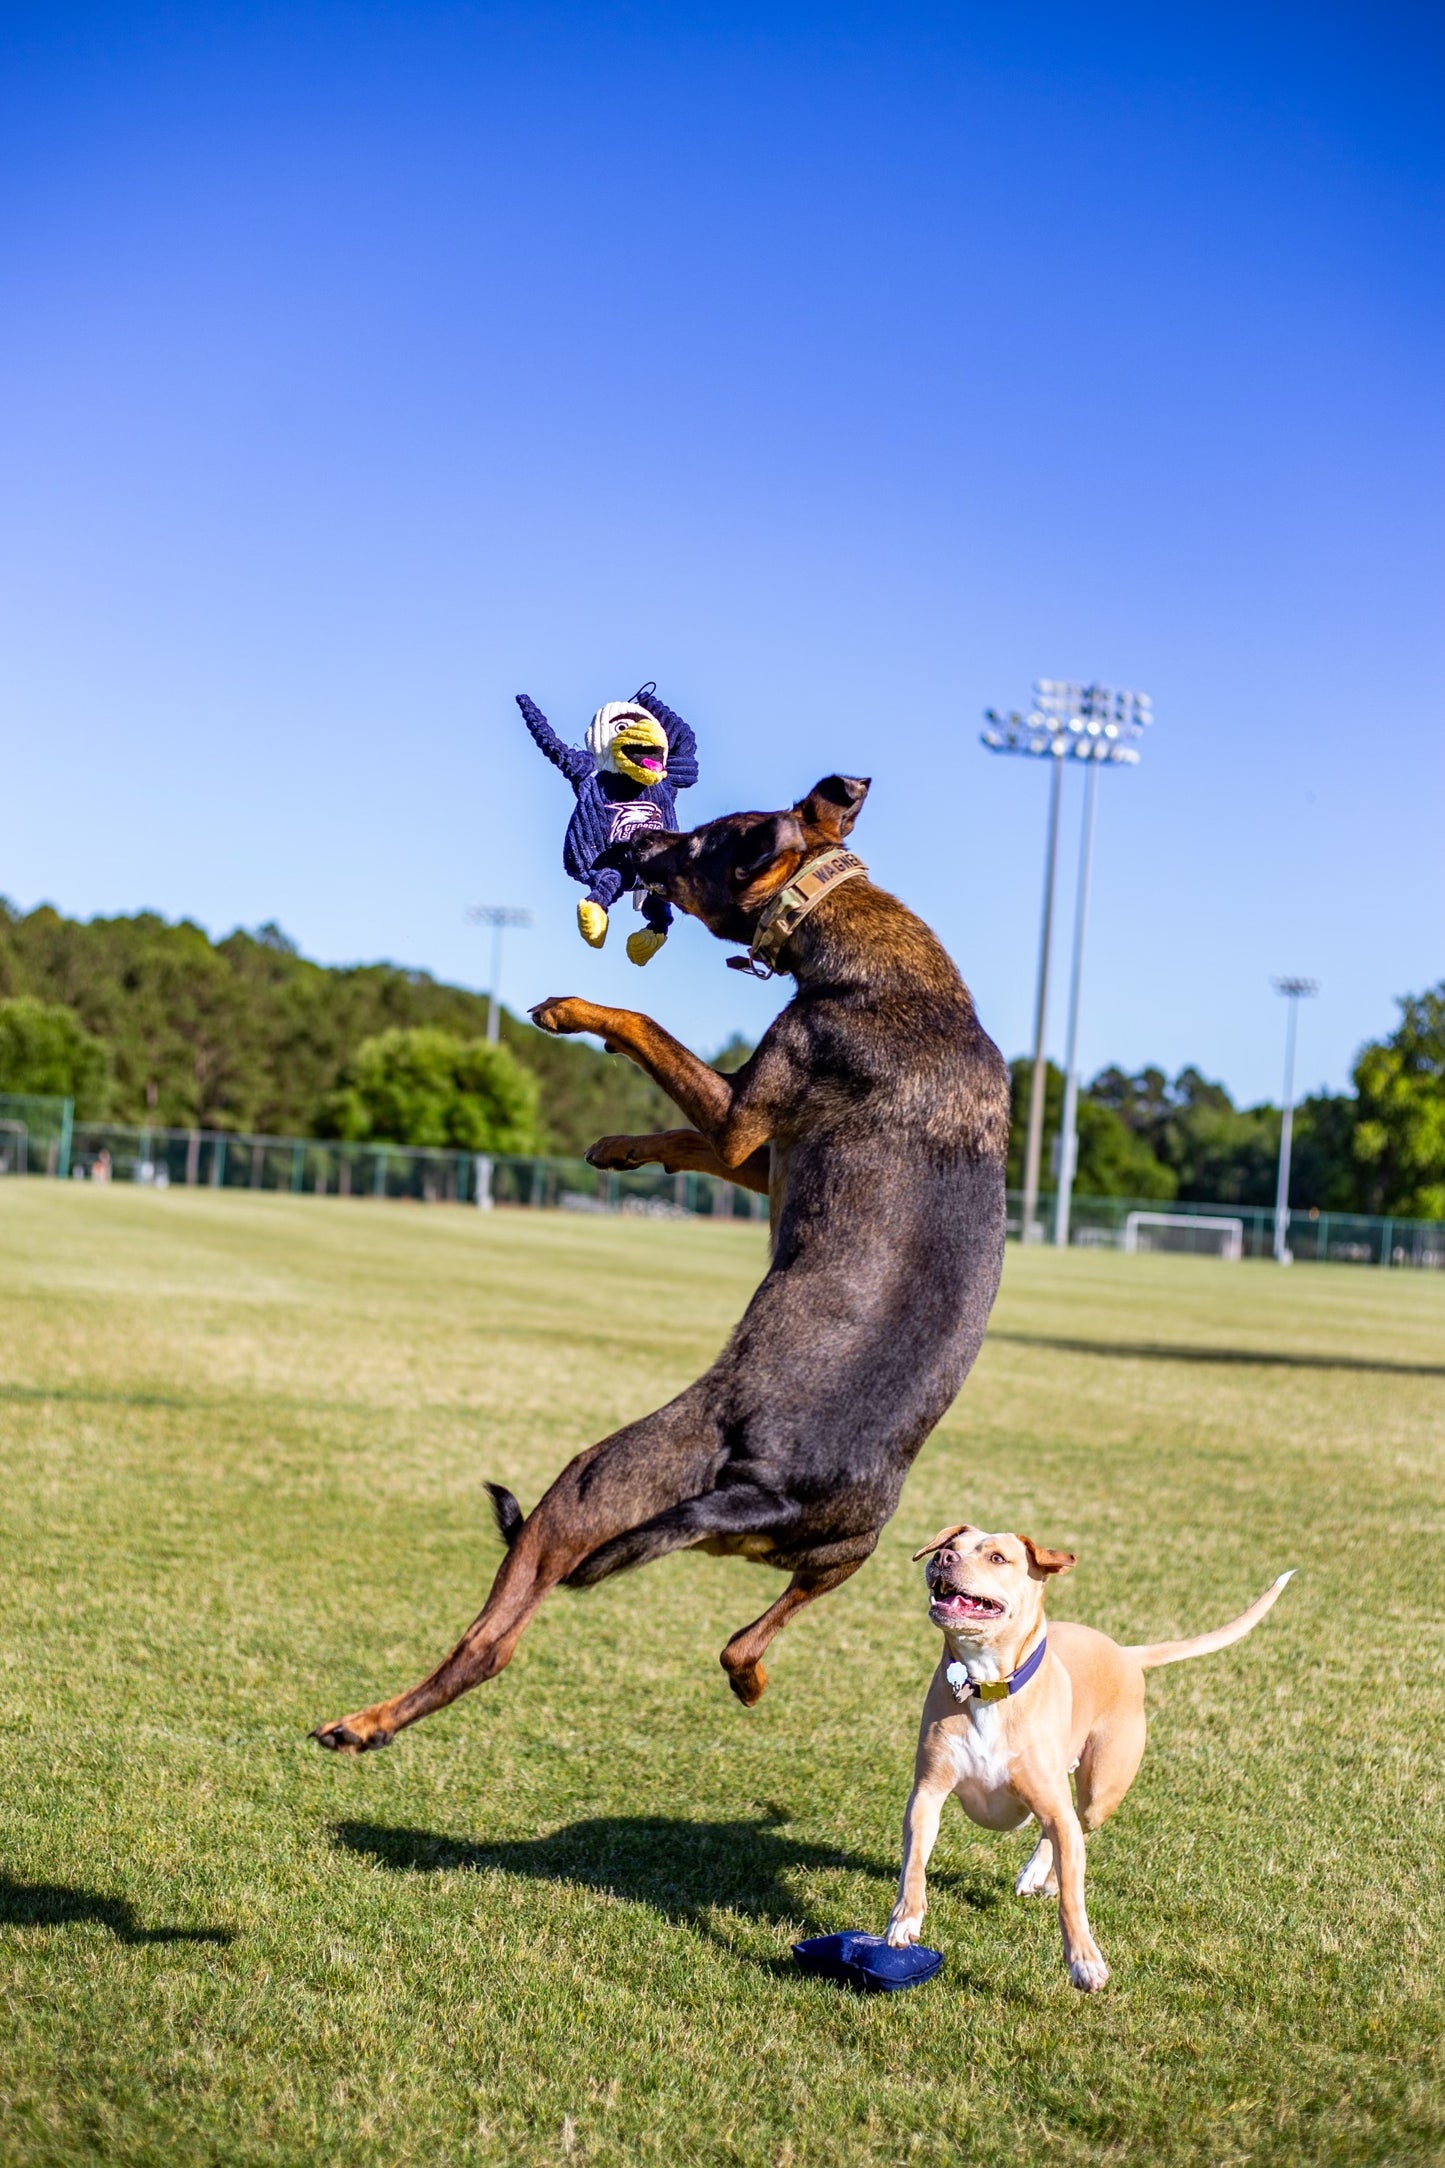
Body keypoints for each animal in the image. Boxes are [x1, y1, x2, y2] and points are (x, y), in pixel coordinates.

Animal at [311, 780, 1013, 1760]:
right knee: (742, 1641)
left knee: (491, 1643)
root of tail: (762, 1494)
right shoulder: (754, 1148)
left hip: (587, 1488)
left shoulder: (744, 1117)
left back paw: (366, 1722)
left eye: (698, 843)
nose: (633, 849)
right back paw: (750, 1680)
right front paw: (621, 1146)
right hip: (850, 1554)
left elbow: (648, 1031)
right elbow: (683, 1135)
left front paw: (576, 1013)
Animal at [888, 1517, 1291, 1985]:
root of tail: (1126, 1654)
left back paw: (1041, 1875)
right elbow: (915, 1862)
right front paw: (904, 1920)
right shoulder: (927, 1793)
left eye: (997, 1557)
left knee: (1077, 1825)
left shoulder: (1053, 1802)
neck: (987, 1686)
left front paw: (1084, 1960)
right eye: (953, 1543)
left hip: (1101, 1788)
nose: (943, 1556)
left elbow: (1072, 1896)